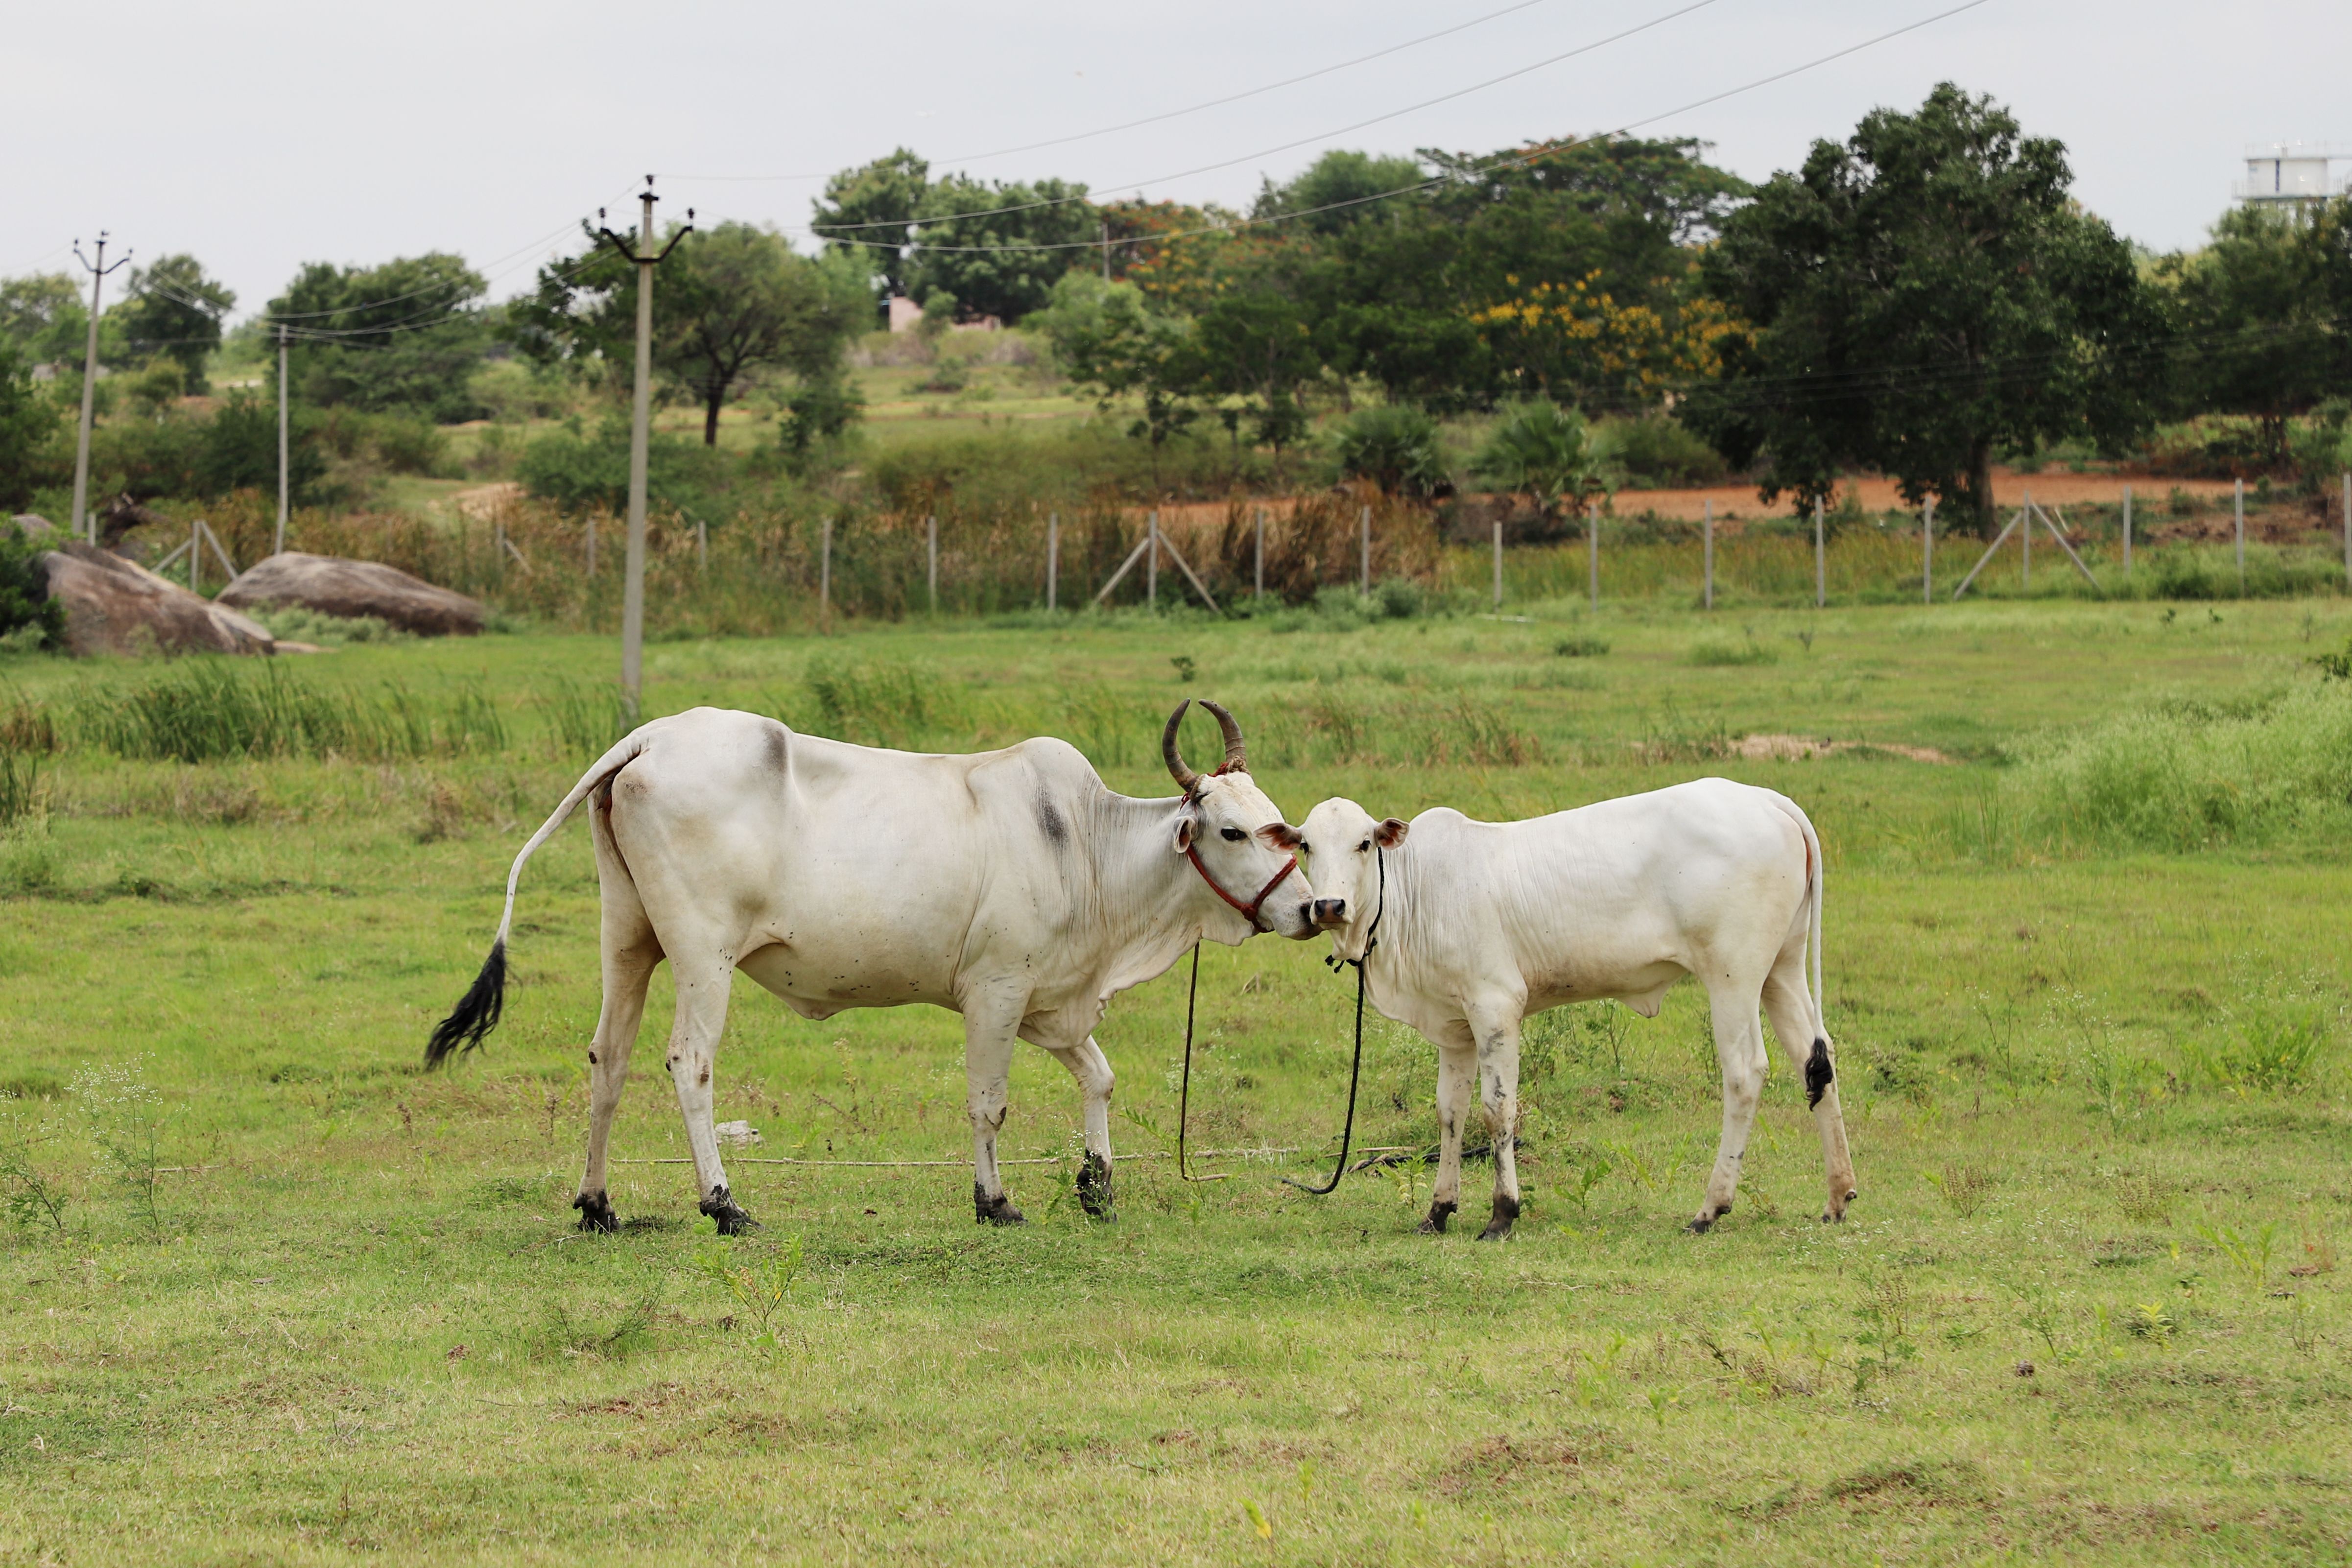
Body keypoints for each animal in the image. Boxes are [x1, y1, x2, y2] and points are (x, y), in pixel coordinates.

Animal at [424, 699, 1317, 1233]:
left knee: (606, 1060)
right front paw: (993, 1200)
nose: (1314, 909)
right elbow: (988, 1105)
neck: (1083, 843)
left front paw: (1096, 1183)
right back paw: (723, 1202)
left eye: (1278, 821)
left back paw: (596, 1204)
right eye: (1229, 830)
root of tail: (651, 735)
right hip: (703, 956)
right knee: (689, 1062)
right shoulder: (995, 991)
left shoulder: (1049, 1000)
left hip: (628, 939)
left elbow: (1098, 1077)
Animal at [1282, 780, 1856, 1240]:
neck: (1417, 890)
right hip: (1782, 970)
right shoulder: (1455, 1029)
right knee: (1816, 1062)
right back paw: (1837, 1196)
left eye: (1363, 843)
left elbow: (1497, 1111)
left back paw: (1710, 1209)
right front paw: (1438, 1210)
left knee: (1745, 1073)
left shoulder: (1496, 1007)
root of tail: (1765, 798)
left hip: (1733, 977)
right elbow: (1450, 1114)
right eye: (1306, 844)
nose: (1328, 906)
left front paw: (1502, 1214)